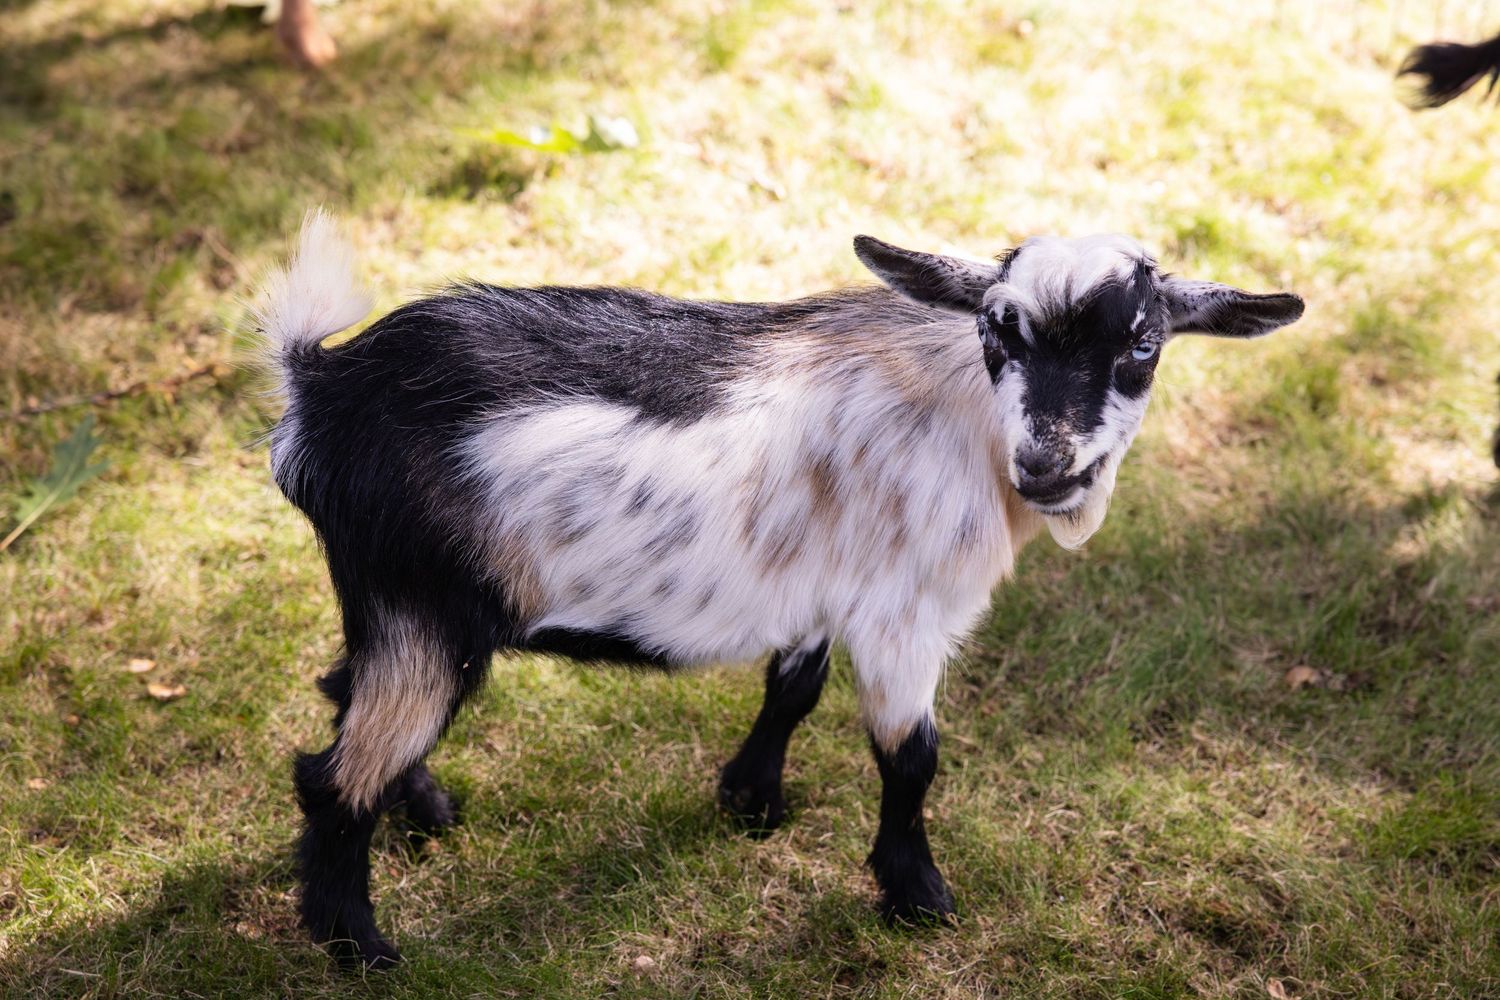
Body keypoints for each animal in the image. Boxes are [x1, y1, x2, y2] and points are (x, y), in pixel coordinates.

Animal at [256, 211, 1304, 967]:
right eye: (995, 333)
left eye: (1142, 345)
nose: (1048, 466)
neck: (963, 416)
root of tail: (322, 387)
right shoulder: (904, 619)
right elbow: (911, 758)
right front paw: (917, 897)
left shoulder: (825, 589)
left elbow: (792, 686)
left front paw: (751, 799)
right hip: (419, 607)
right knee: (333, 776)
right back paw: (360, 944)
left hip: (400, 610)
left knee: (342, 692)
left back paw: (425, 810)